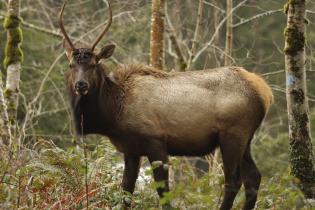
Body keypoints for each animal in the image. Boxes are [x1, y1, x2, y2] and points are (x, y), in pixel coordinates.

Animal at [59, 0, 274, 209]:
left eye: (93, 64)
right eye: (71, 65)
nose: (81, 85)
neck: (113, 113)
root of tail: (265, 92)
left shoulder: (156, 141)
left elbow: (164, 194)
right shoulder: (131, 149)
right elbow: (126, 192)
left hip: (232, 135)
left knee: (234, 181)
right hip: (245, 139)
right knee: (254, 177)